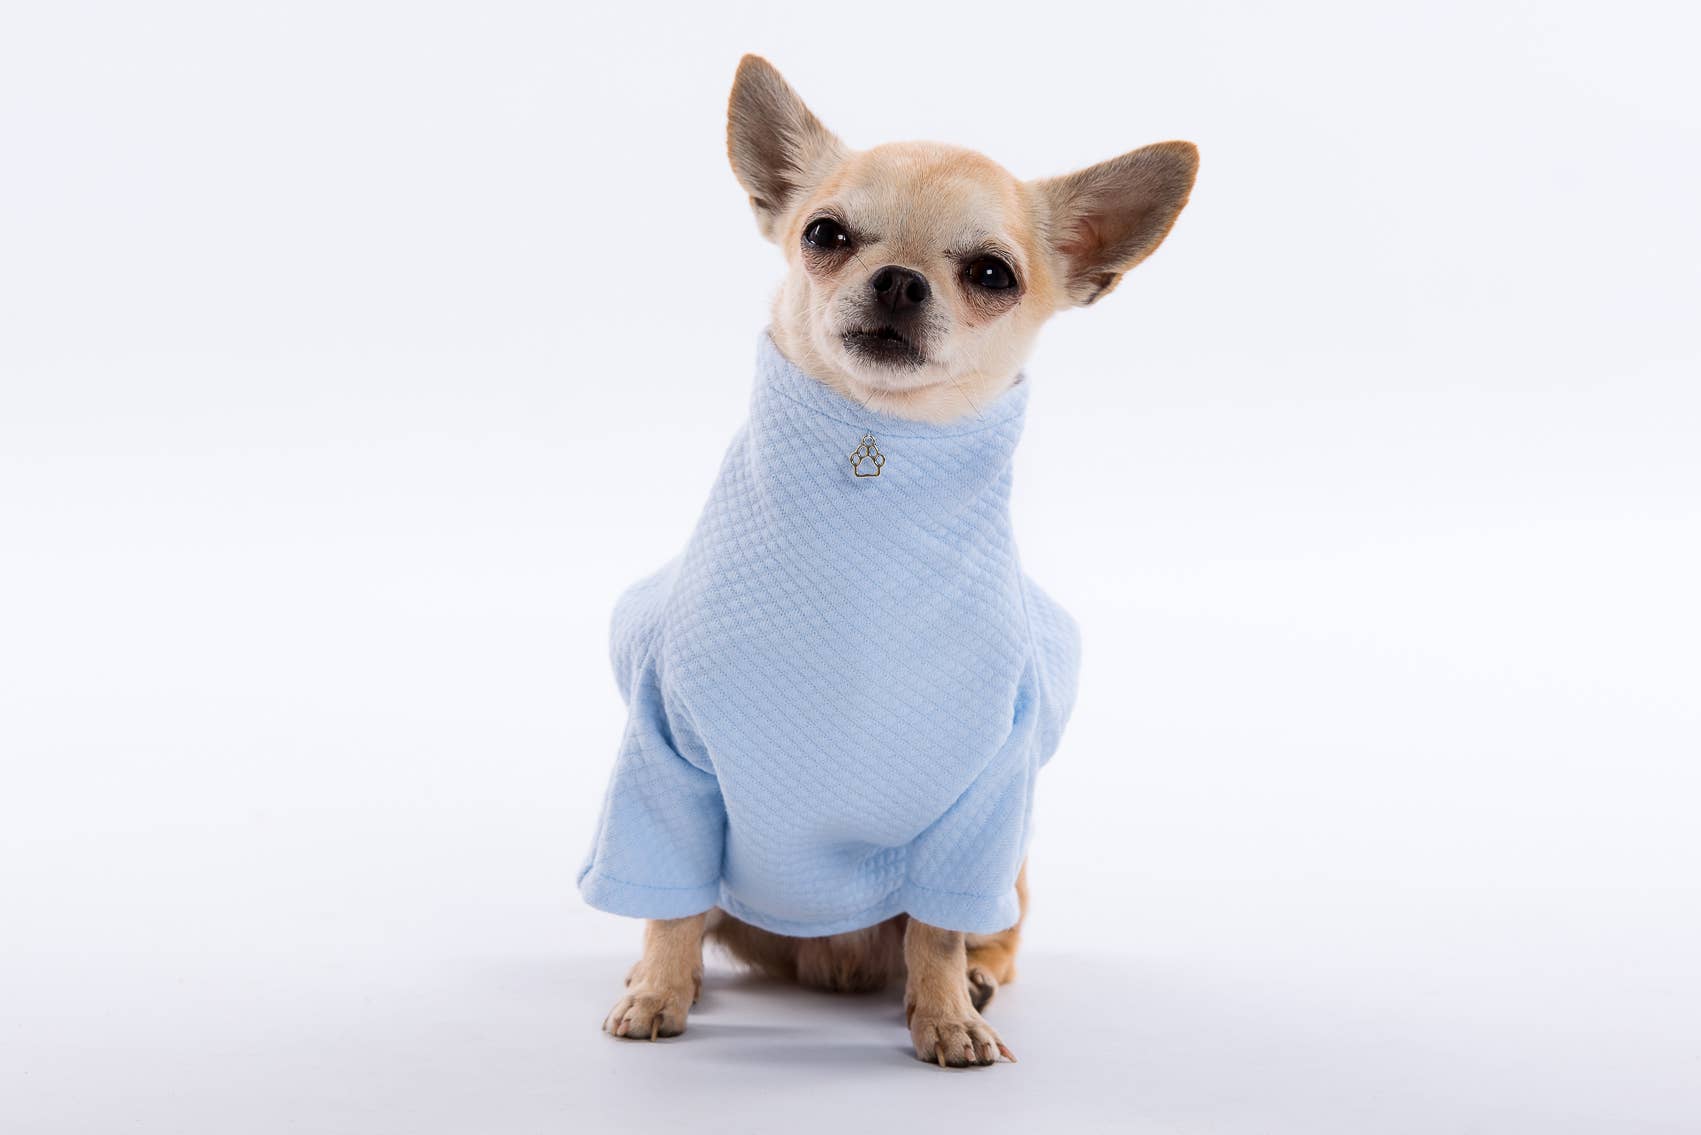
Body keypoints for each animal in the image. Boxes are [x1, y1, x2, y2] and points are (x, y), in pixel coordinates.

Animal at [585, 54, 1197, 1067]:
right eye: (824, 235)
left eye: (990, 274)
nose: (901, 281)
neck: (868, 496)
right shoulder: (664, 760)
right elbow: (666, 910)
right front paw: (657, 991)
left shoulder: (979, 798)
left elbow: (936, 931)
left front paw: (945, 1014)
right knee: (685, 909)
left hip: (1008, 867)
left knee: (975, 932)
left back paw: (975, 981)